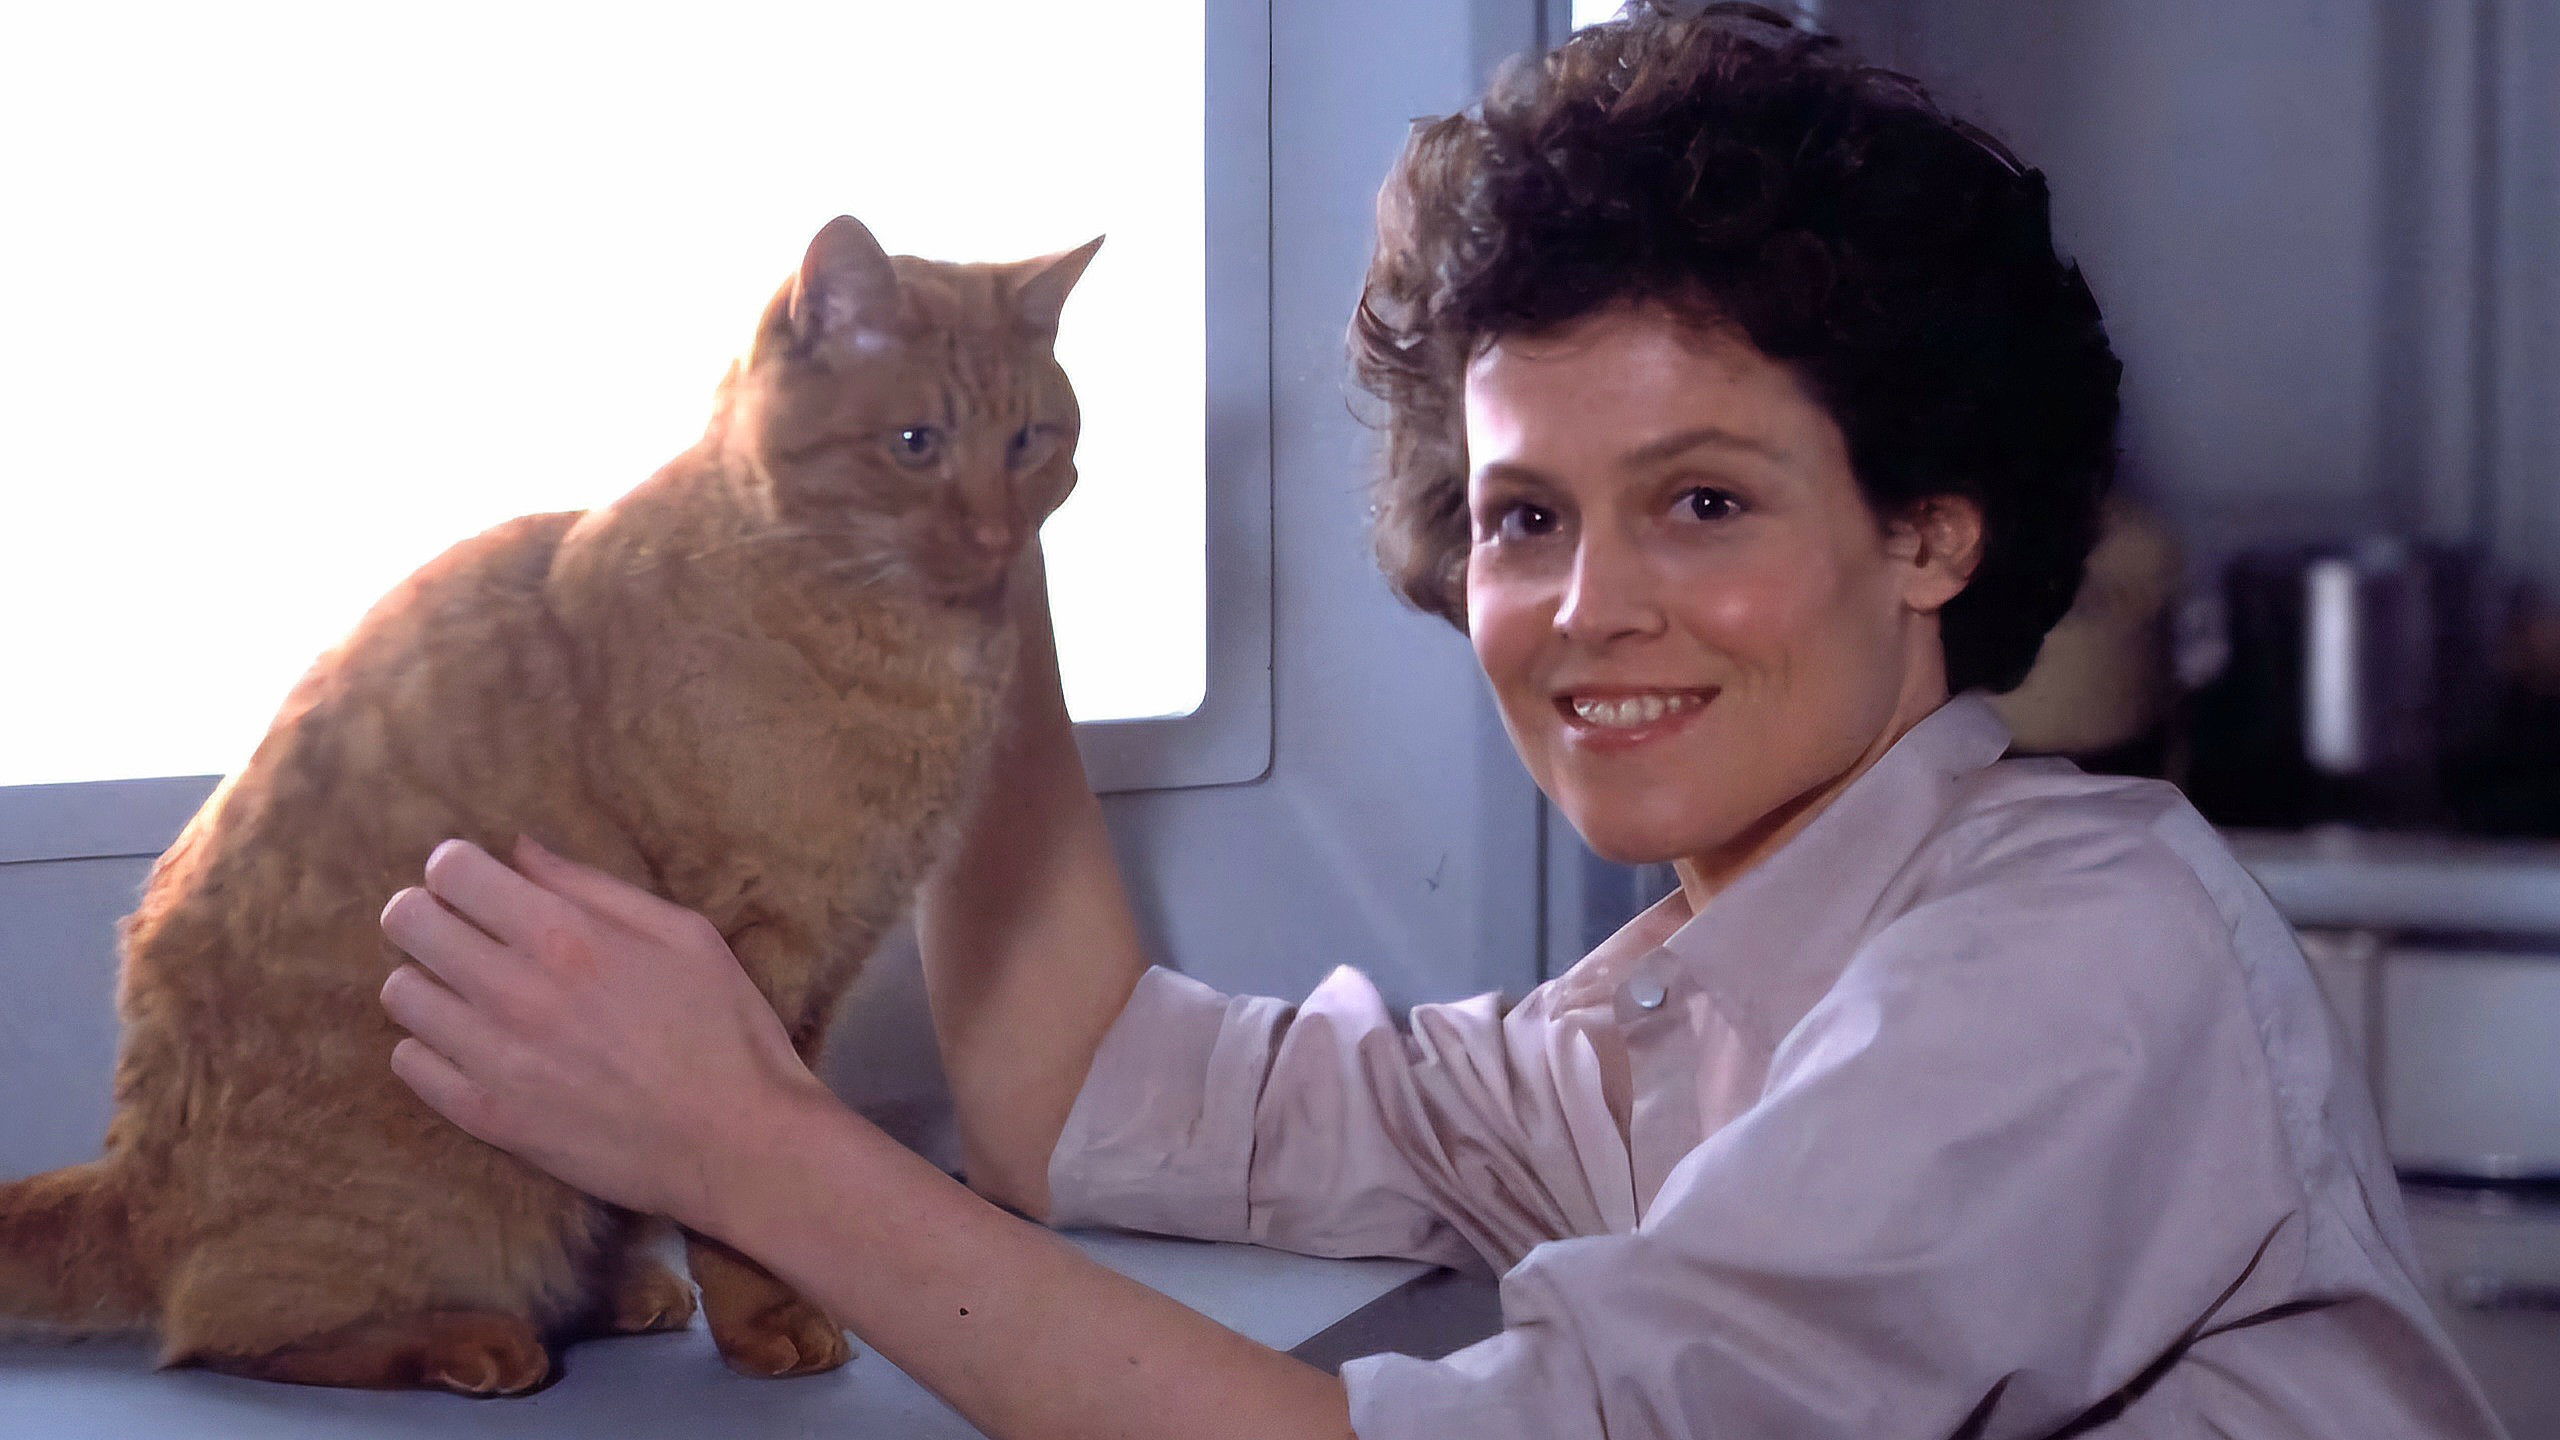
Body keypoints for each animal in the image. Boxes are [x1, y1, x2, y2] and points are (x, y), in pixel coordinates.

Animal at [0, 214, 1097, 1395]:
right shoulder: (754, 949)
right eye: (913, 442)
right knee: (232, 1335)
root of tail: (128, 1187)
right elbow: (736, 1197)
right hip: (435, 1205)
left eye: (1030, 441)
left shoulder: (822, 979)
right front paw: (769, 1323)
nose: (993, 537)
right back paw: (468, 1341)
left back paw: (618, 1294)